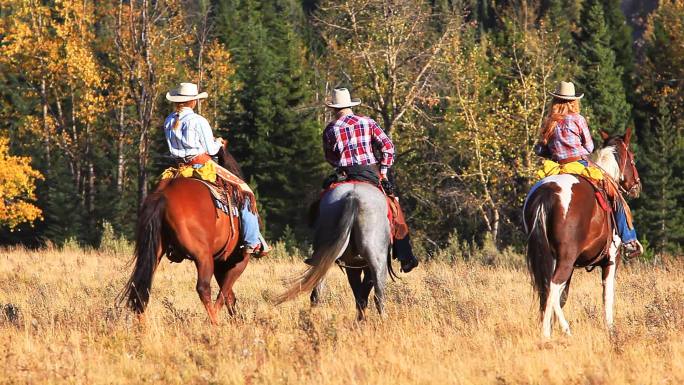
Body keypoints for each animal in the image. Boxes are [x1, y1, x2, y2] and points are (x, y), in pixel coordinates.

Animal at [121, 142, 251, 322]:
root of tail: (163, 194)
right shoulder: (238, 260)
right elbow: (225, 293)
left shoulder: (220, 261)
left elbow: (229, 295)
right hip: (202, 256)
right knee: (203, 288)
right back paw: (214, 322)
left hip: (154, 251)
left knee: (141, 286)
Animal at [276, 182, 398, 320]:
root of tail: (353, 196)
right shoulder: (363, 266)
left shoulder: (352, 265)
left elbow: (359, 295)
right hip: (377, 261)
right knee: (379, 296)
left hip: (325, 257)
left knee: (316, 292)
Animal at [524, 128, 640, 336]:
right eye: (633, 160)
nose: (637, 185)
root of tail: (546, 193)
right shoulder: (612, 259)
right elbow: (607, 293)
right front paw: (610, 327)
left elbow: (563, 296)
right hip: (566, 259)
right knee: (552, 285)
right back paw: (557, 331)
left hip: (551, 257)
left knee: (547, 288)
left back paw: (549, 329)